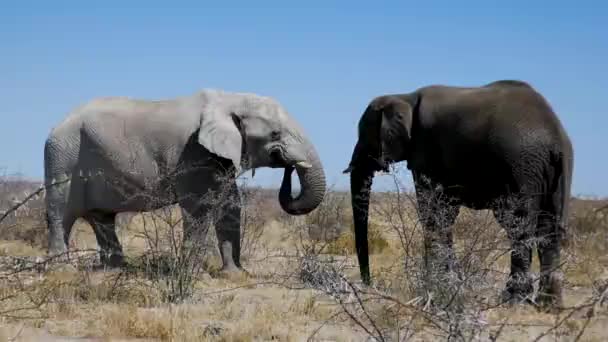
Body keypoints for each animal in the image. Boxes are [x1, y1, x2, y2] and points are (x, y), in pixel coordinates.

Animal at [44, 89, 326, 272]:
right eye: (275, 133)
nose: (289, 167)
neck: (229, 99)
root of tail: (56, 126)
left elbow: (230, 205)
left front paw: (234, 274)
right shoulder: (193, 152)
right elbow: (199, 207)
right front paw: (192, 273)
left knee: (101, 217)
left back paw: (115, 269)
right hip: (62, 157)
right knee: (61, 213)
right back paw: (62, 271)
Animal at [344, 79, 572, 308]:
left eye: (364, 135)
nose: (368, 283)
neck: (405, 97)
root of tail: (555, 138)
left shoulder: (426, 150)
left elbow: (432, 212)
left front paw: (437, 285)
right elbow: (445, 213)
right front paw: (451, 282)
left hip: (521, 166)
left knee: (518, 226)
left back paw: (513, 300)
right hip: (552, 171)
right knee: (549, 229)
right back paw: (549, 304)